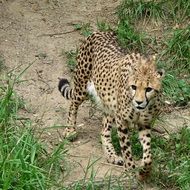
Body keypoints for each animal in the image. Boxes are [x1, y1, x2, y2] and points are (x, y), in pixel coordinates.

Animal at [58, 31, 164, 180]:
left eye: (148, 89)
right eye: (133, 87)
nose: (138, 102)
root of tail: (99, 32)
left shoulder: (144, 124)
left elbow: (148, 153)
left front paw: (144, 172)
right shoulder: (121, 120)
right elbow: (126, 148)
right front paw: (130, 169)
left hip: (109, 105)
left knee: (104, 131)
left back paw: (111, 155)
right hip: (82, 87)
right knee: (73, 104)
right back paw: (70, 131)